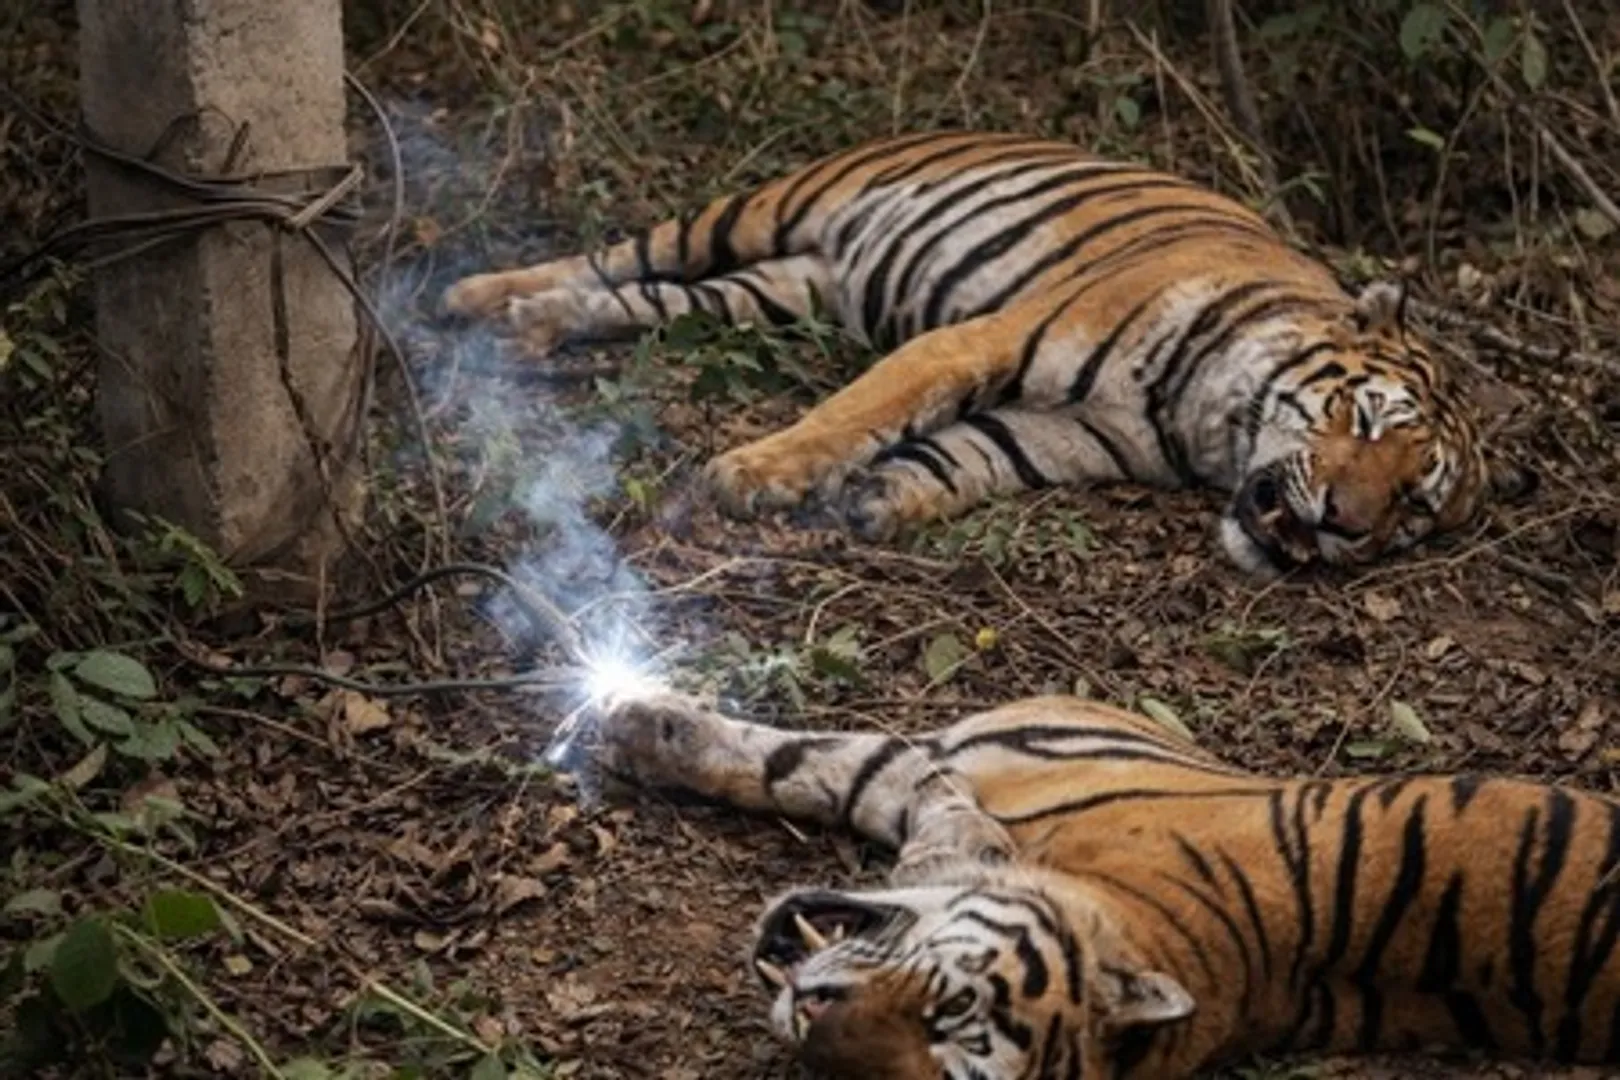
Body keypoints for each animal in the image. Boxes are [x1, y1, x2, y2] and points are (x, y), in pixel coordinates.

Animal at [443, 130, 1531, 575]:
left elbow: (969, 457)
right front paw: (755, 475)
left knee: (640, 296)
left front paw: (880, 501)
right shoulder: (982, 337)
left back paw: (534, 326)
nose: (1345, 522)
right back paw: (476, 296)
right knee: (616, 252)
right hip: (757, 211)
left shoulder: (1076, 433)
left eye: (1416, 504)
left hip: (773, 293)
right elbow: (863, 412)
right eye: (1366, 420)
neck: (1208, 427)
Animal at [582, 686, 1620, 1079]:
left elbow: (833, 761)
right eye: (942, 998)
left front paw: (634, 725)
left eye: (935, 1058)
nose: (809, 1021)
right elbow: (806, 761)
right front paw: (636, 724)